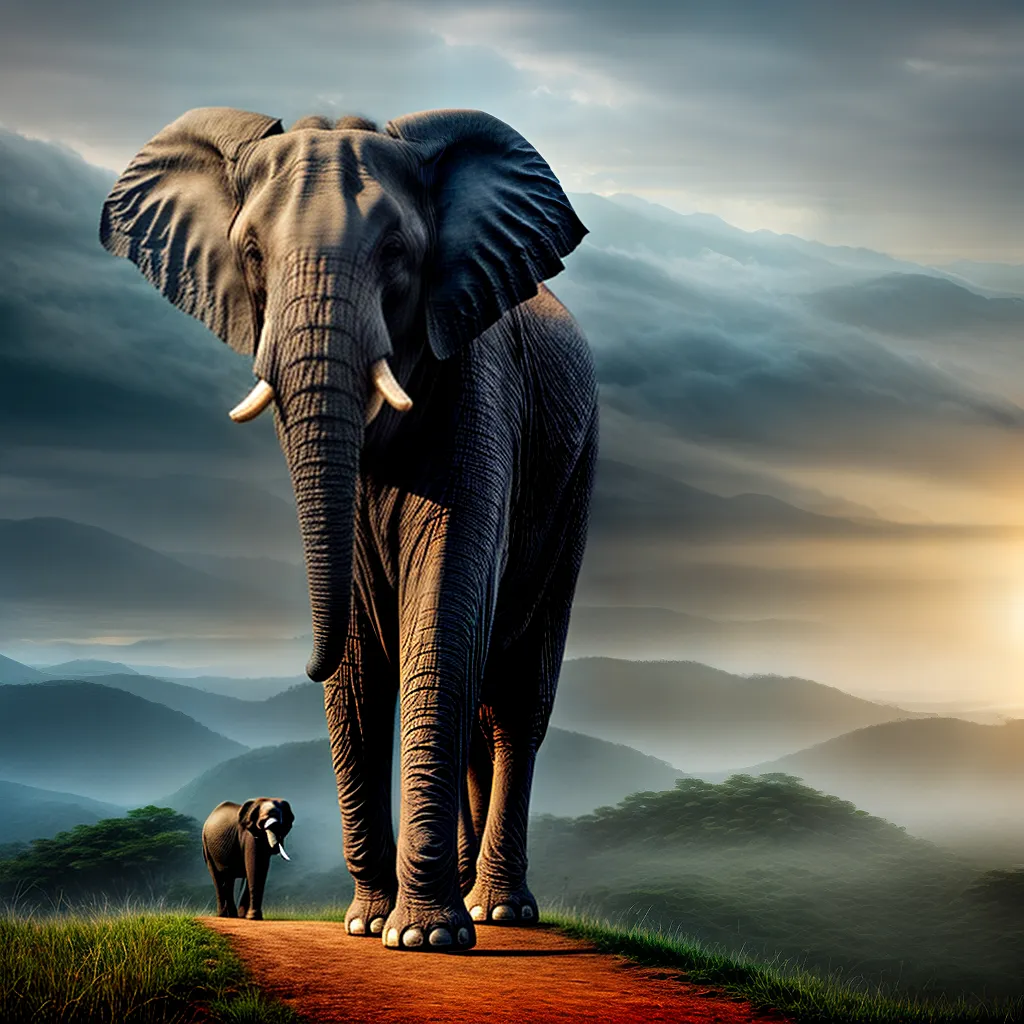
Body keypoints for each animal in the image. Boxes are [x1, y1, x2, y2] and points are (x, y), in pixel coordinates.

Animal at [100, 107, 597, 952]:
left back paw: (497, 910)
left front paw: (425, 938)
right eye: (251, 253)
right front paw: (369, 924)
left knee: (515, 705)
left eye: (397, 253)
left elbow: (440, 612)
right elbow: (364, 649)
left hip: (577, 476)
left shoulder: (481, 396)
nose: (302, 660)